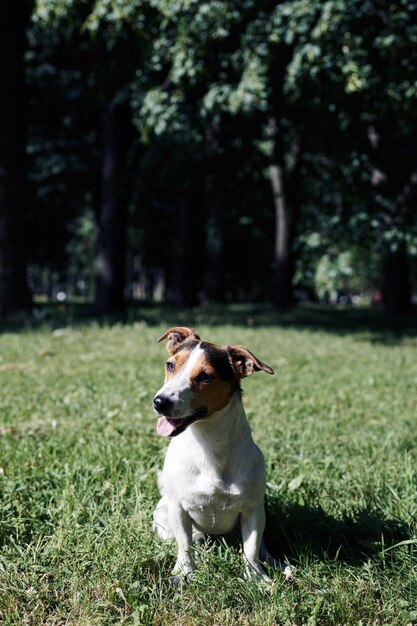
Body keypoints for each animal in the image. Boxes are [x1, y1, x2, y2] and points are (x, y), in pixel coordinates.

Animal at [151, 326, 290, 580]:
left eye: (205, 377)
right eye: (170, 365)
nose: (160, 402)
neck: (207, 442)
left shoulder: (252, 511)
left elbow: (251, 550)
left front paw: (257, 578)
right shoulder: (178, 509)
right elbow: (184, 546)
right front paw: (184, 573)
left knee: (261, 547)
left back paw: (278, 564)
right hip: (164, 516)